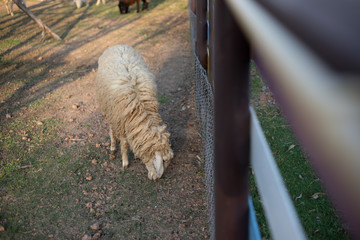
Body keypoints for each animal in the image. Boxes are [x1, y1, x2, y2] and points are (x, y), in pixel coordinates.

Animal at [95, 44, 174, 180]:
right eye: (163, 161)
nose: (156, 178)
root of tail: (118, 45)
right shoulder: (121, 120)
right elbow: (124, 143)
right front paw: (125, 162)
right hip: (108, 108)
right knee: (110, 127)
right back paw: (113, 146)